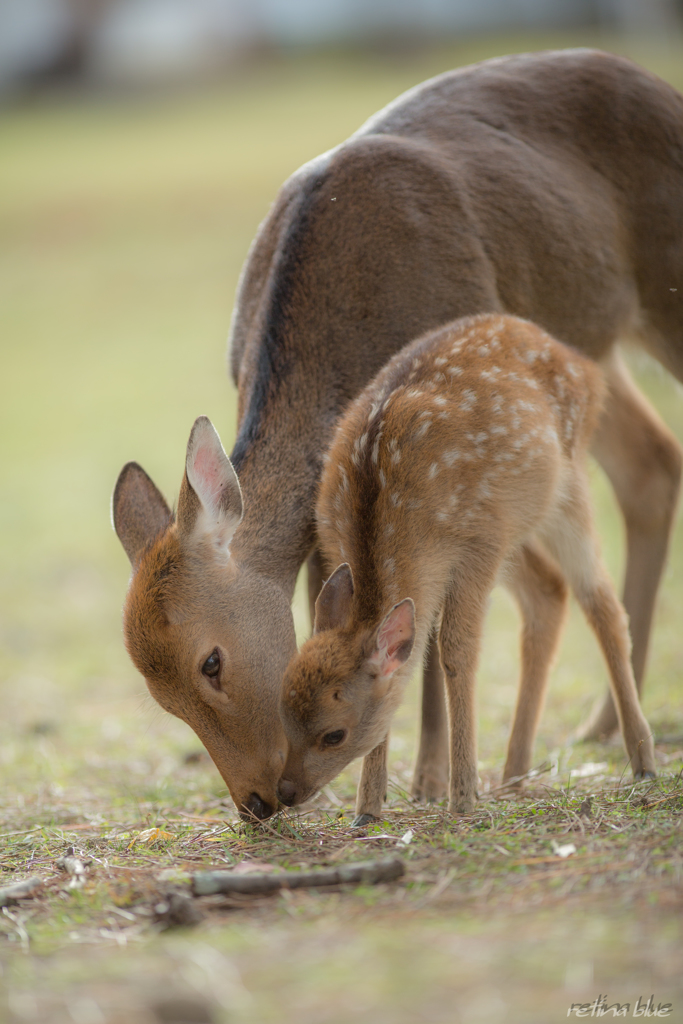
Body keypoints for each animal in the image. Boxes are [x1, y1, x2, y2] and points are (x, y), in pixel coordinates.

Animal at [278, 315, 655, 819]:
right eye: (283, 713)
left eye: (333, 734)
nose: (284, 792)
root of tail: (584, 367)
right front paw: (368, 809)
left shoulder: (478, 543)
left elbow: (456, 650)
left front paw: (461, 796)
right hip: (520, 526)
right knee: (550, 591)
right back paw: (514, 773)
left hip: (564, 488)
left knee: (602, 604)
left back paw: (642, 760)